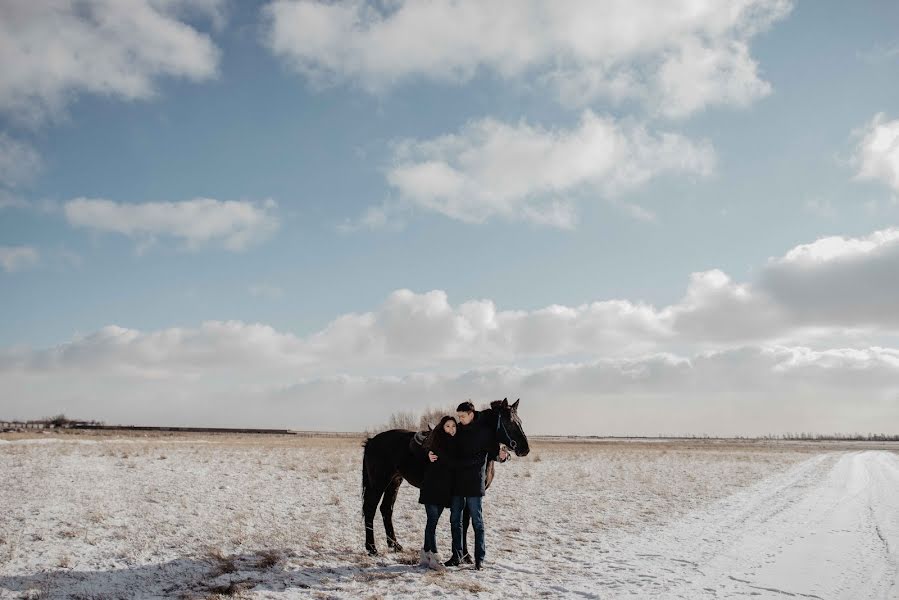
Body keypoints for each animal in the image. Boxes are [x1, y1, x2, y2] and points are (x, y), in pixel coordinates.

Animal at [360, 396, 532, 556]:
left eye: (520, 421)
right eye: (509, 422)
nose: (525, 449)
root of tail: (372, 441)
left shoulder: (472, 494)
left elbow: (466, 522)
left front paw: (465, 555)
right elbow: (463, 522)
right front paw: (464, 555)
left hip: (394, 482)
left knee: (386, 509)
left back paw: (395, 545)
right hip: (378, 483)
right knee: (370, 509)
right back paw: (372, 548)